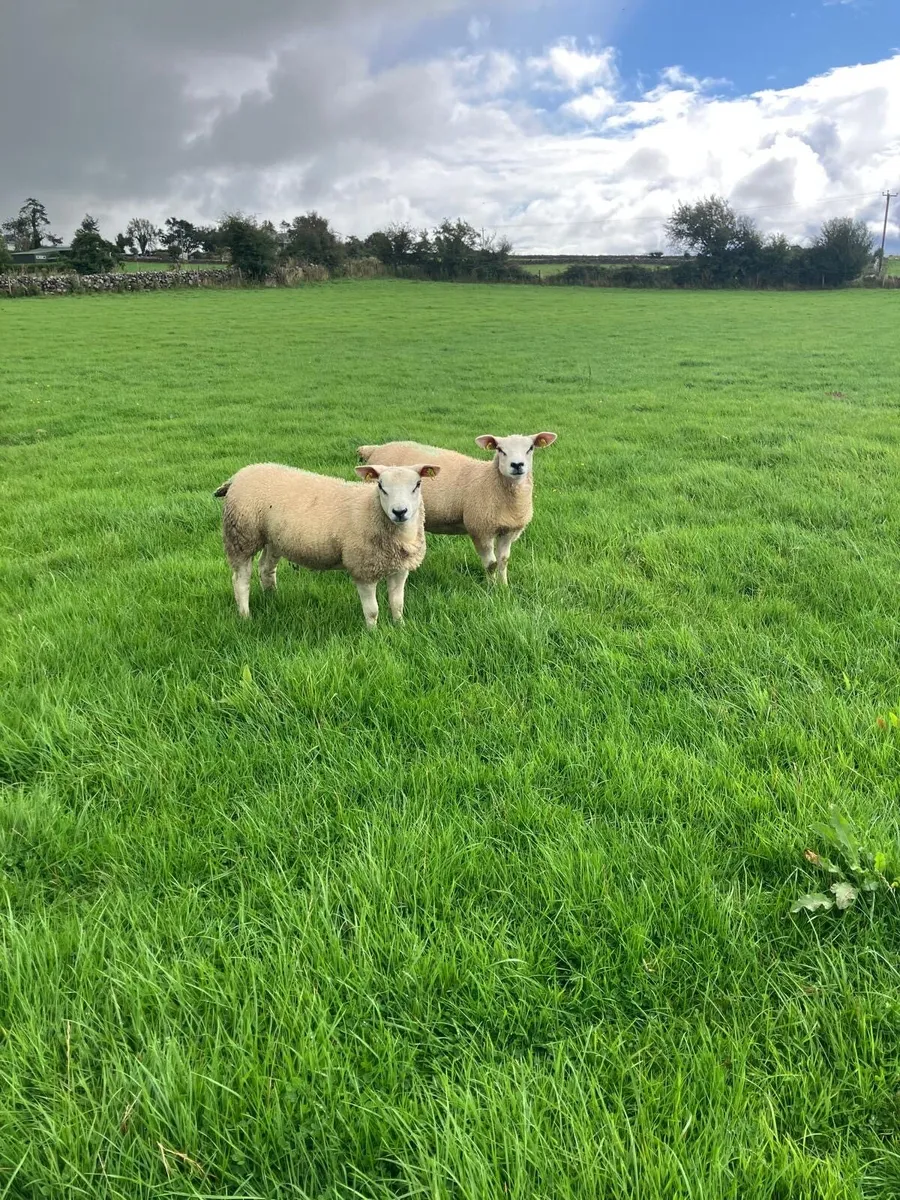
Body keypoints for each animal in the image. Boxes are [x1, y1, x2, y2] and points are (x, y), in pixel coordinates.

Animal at [213, 461, 440, 628]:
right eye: (381, 487)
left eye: (417, 485)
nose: (399, 512)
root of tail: (238, 475)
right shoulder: (362, 568)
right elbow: (372, 611)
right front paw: (373, 633)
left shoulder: (400, 568)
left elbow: (397, 604)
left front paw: (400, 627)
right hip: (241, 535)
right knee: (240, 581)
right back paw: (245, 616)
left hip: (273, 538)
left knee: (266, 568)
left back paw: (272, 598)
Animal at [356, 433, 557, 586]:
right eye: (500, 450)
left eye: (530, 448)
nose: (517, 465)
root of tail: (376, 449)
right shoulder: (480, 529)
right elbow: (491, 564)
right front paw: (491, 589)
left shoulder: (509, 531)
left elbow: (503, 561)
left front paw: (504, 587)